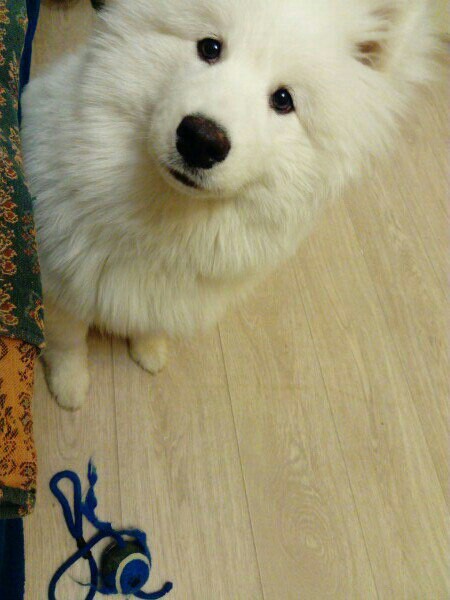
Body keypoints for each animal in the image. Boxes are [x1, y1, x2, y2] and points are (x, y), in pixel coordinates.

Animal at [20, 0, 436, 410]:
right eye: (210, 47)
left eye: (283, 100)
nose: (202, 139)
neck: (166, 220)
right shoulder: (60, 286)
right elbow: (68, 341)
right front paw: (69, 386)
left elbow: (150, 322)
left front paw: (149, 350)